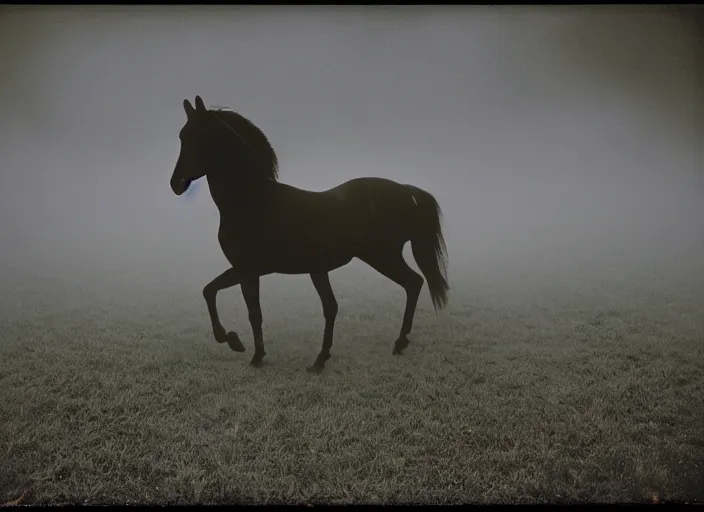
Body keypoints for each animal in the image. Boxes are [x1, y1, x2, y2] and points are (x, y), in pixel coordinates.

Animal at [168, 96, 448, 374]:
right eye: (182, 136)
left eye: (202, 137)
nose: (176, 184)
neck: (255, 202)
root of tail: (406, 190)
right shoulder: (249, 271)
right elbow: (251, 312)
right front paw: (257, 355)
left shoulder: (247, 267)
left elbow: (210, 291)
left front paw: (233, 340)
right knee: (351, 301)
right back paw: (326, 357)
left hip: (382, 257)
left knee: (413, 283)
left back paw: (397, 343)